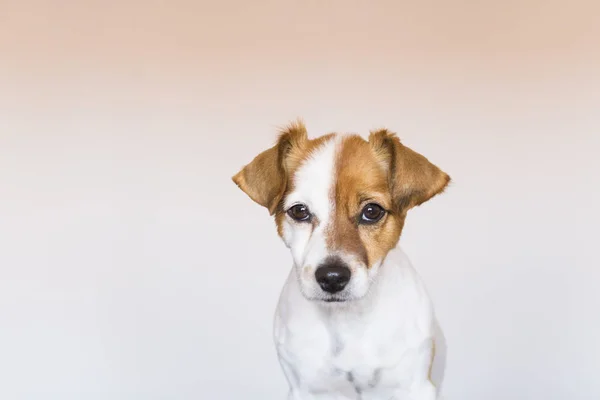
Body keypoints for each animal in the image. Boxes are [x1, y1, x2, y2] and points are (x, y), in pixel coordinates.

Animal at [233, 122, 450, 400]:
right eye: (299, 211)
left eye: (372, 211)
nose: (332, 278)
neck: (348, 320)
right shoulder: (304, 390)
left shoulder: (415, 387)